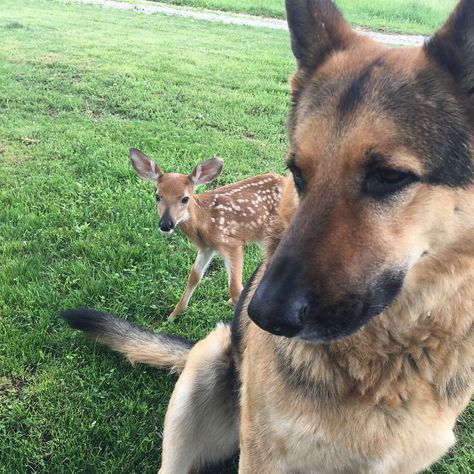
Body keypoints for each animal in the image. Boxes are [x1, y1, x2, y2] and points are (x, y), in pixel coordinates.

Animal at [64, 1, 474, 472]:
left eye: (389, 176)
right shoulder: (263, 444)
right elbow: (196, 277)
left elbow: (229, 283)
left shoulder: (231, 246)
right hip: (206, 373)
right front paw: (175, 312)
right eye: (298, 170)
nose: (263, 317)